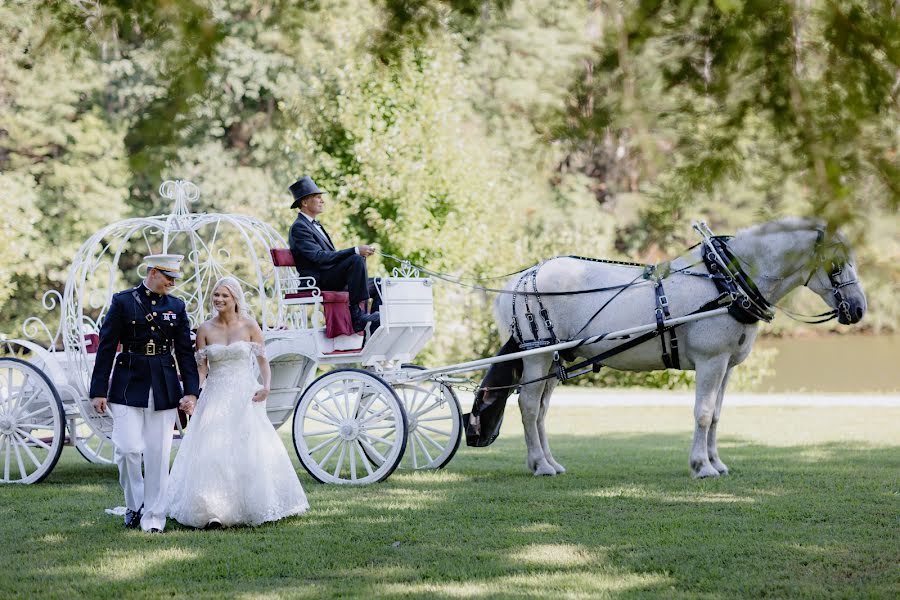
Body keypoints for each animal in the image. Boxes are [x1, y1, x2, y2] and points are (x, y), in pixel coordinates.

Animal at [468, 218, 868, 476]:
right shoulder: (710, 361)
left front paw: (716, 462)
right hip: (536, 356)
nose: (859, 309)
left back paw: (550, 462)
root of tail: (523, 277)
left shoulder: (726, 365)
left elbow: (716, 415)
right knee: (528, 407)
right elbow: (703, 413)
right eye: (836, 263)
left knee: (541, 410)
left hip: (555, 359)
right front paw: (702, 466)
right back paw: (539, 465)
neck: (726, 280)